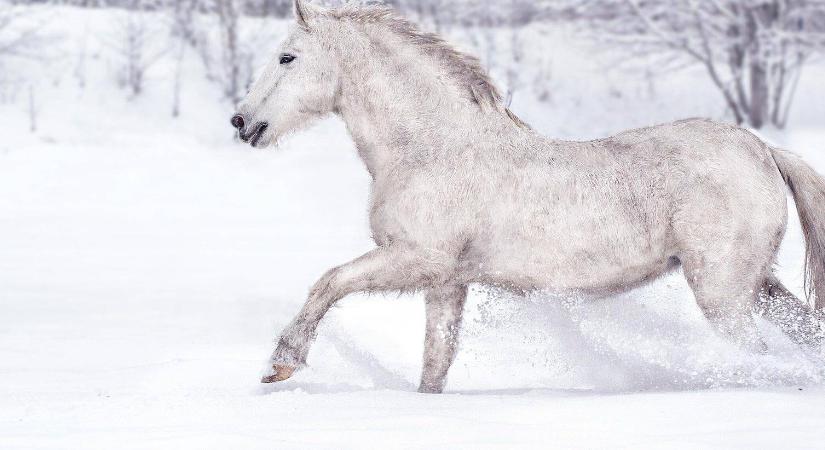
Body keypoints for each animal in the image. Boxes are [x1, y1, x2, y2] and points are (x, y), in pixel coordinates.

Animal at [230, 0, 824, 394]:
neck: (433, 148)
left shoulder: (416, 259)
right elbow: (435, 362)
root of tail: (763, 150)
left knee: (756, 355)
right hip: (758, 286)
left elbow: (328, 282)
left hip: (723, 293)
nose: (242, 123)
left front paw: (280, 365)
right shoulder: (447, 283)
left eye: (287, 57)